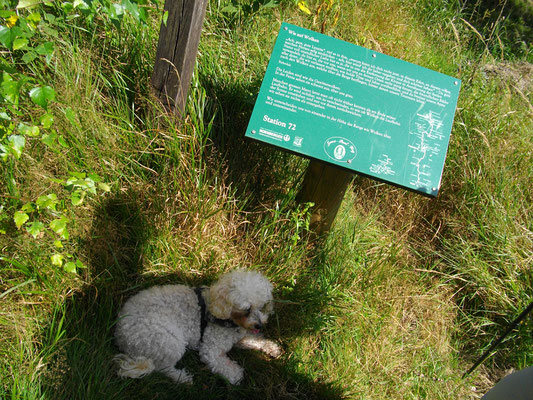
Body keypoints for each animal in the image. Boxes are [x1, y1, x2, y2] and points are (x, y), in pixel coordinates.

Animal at [112, 268, 282, 384]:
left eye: (262, 306)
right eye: (246, 309)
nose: (259, 325)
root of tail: (119, 335)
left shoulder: (240, 337)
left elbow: (254, 340)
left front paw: (271, 347)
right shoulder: (210, 350)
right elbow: (222, 365)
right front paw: (236, 375)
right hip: (168, 340)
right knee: (162, 368)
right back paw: (182, 377)